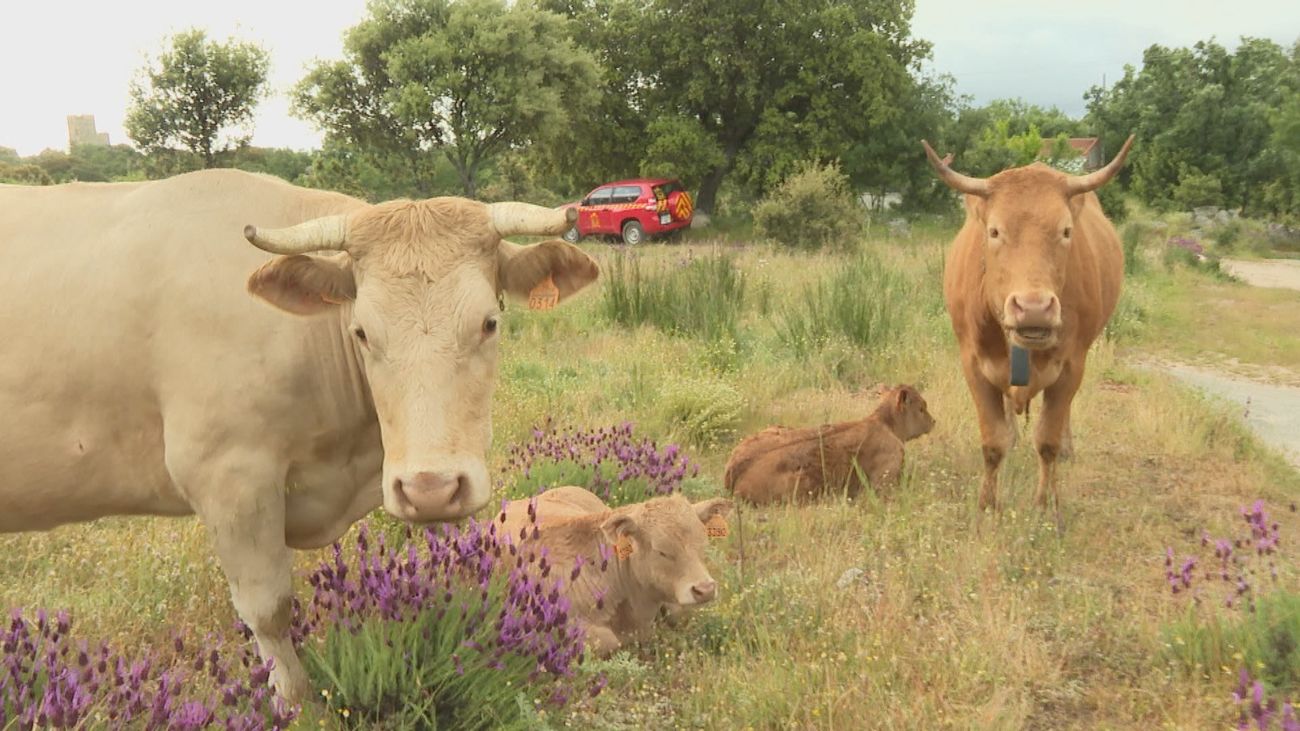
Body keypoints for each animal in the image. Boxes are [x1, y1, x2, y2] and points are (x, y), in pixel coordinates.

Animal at [0, 169, 599, 701]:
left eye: (489, 323)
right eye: (361, 332)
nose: (430, 489)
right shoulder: (229, 477)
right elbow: (267, 608)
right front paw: (293, 698)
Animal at [921, 135, 1134, 522]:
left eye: (1066, 231)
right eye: (994, 231)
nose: (1034, 308)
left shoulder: (1071, 366)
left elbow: (1047, 440)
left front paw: (1046, 504)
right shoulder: (973, 365)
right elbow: (992, 442)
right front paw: (988, 504)